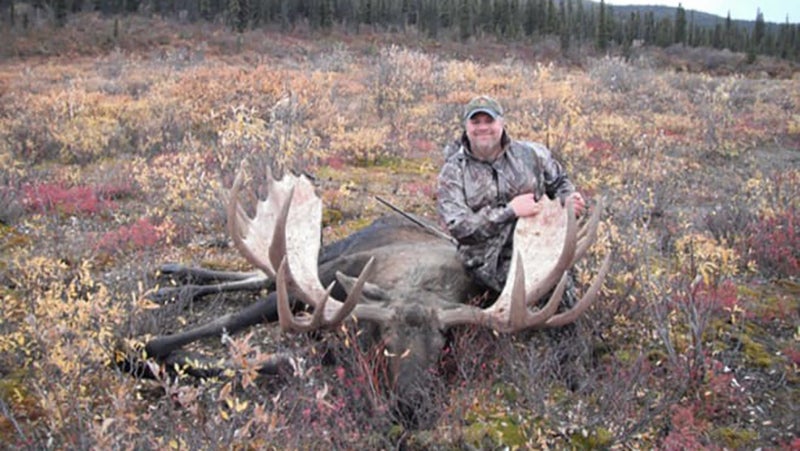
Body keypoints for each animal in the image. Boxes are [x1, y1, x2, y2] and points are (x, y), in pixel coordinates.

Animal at [139, 162, 612, 428]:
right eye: (384, 342)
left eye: (445, 344)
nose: (412, 407)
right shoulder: (328, 277)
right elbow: (191, 333)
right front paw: (141, 355)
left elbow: (284, 363)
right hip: (324, 253)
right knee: (267, 272)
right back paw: (174, 279)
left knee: (263, 275)